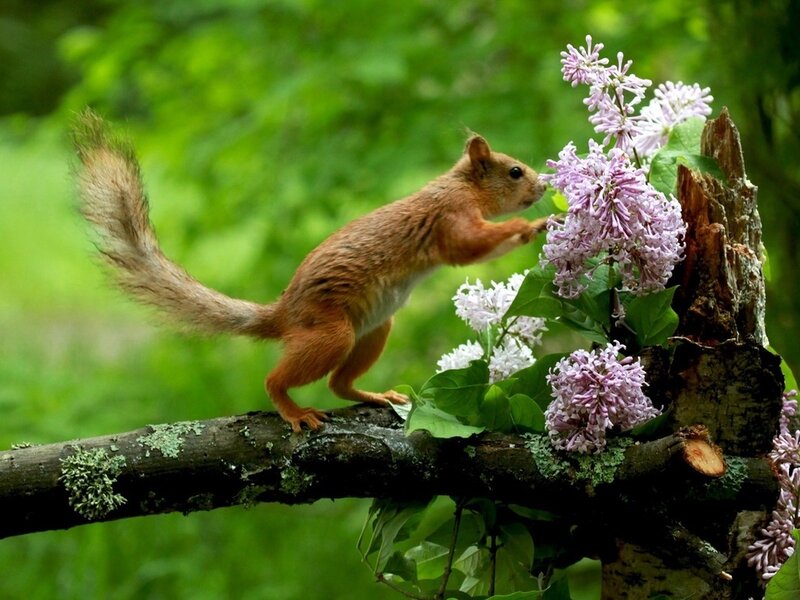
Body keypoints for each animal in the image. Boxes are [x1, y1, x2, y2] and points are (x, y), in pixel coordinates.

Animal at [72, 109, 548, 431]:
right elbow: (467, 248)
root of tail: (283, 314)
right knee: (275, 379)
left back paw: (374, 394)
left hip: (374, 330)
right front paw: (530, 227)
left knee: (339, 384)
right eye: (515, 171)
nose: (544, 187)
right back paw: (293, 410)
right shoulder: (450, 217)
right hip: (331, 332)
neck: (460, 186)